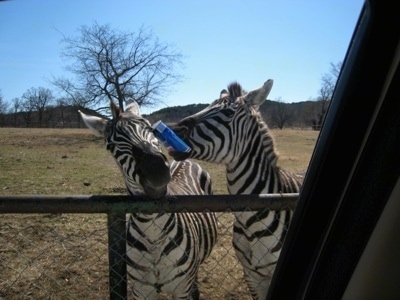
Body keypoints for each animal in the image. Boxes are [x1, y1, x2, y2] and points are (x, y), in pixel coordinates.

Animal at [77, 101, 217, 300]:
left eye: (151, 130)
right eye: (110, 146)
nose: (156, 171)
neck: (153, 232)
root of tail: (185, 161)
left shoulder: (181, 289)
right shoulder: (141, 290)